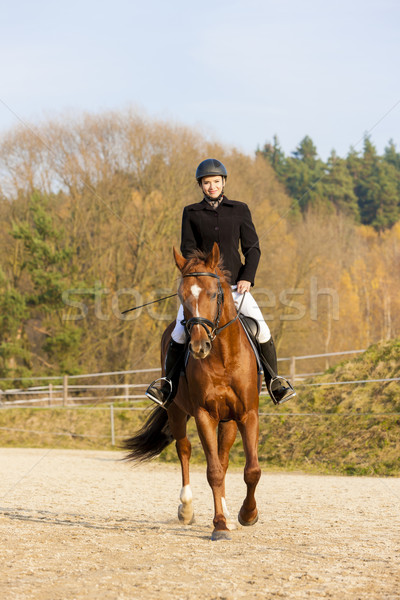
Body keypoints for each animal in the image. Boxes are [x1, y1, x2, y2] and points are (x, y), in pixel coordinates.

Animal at [125, 241, 262, 540]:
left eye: (213, 293)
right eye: (182, 296)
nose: (199, 347)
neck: (223, 357)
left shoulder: (247, 414)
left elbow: (250, 470)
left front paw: (247, 515)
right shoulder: (203, 415)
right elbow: (212, 472)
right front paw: (220, 525)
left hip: (228, 420)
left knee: (223, 458)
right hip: (176, 410)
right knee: (184, 449)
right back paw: (186, 509)